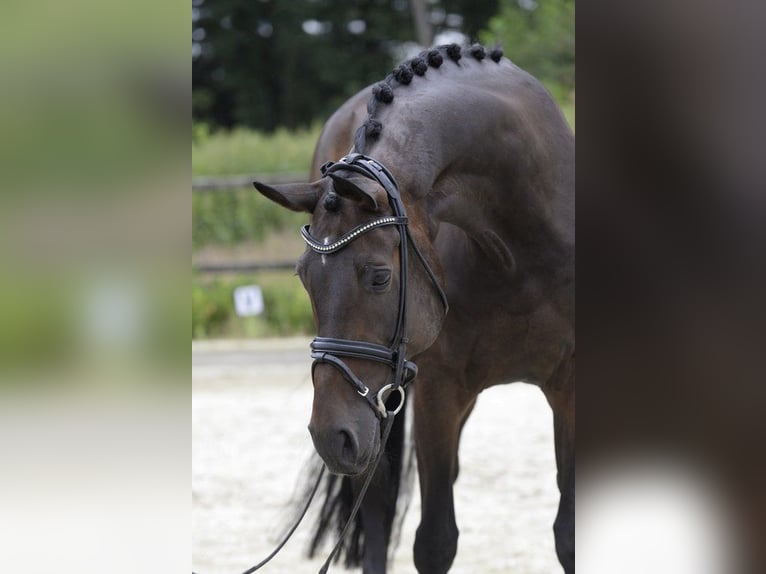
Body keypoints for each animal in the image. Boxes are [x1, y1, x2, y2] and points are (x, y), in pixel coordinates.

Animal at [254, 44, 576, 574]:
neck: (520, 250)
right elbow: (435, 541)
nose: (329, 436)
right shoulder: (436, 392)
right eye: (304, 278)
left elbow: (568, 535)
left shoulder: (570, 390)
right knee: (375, 506)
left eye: (380, 276)